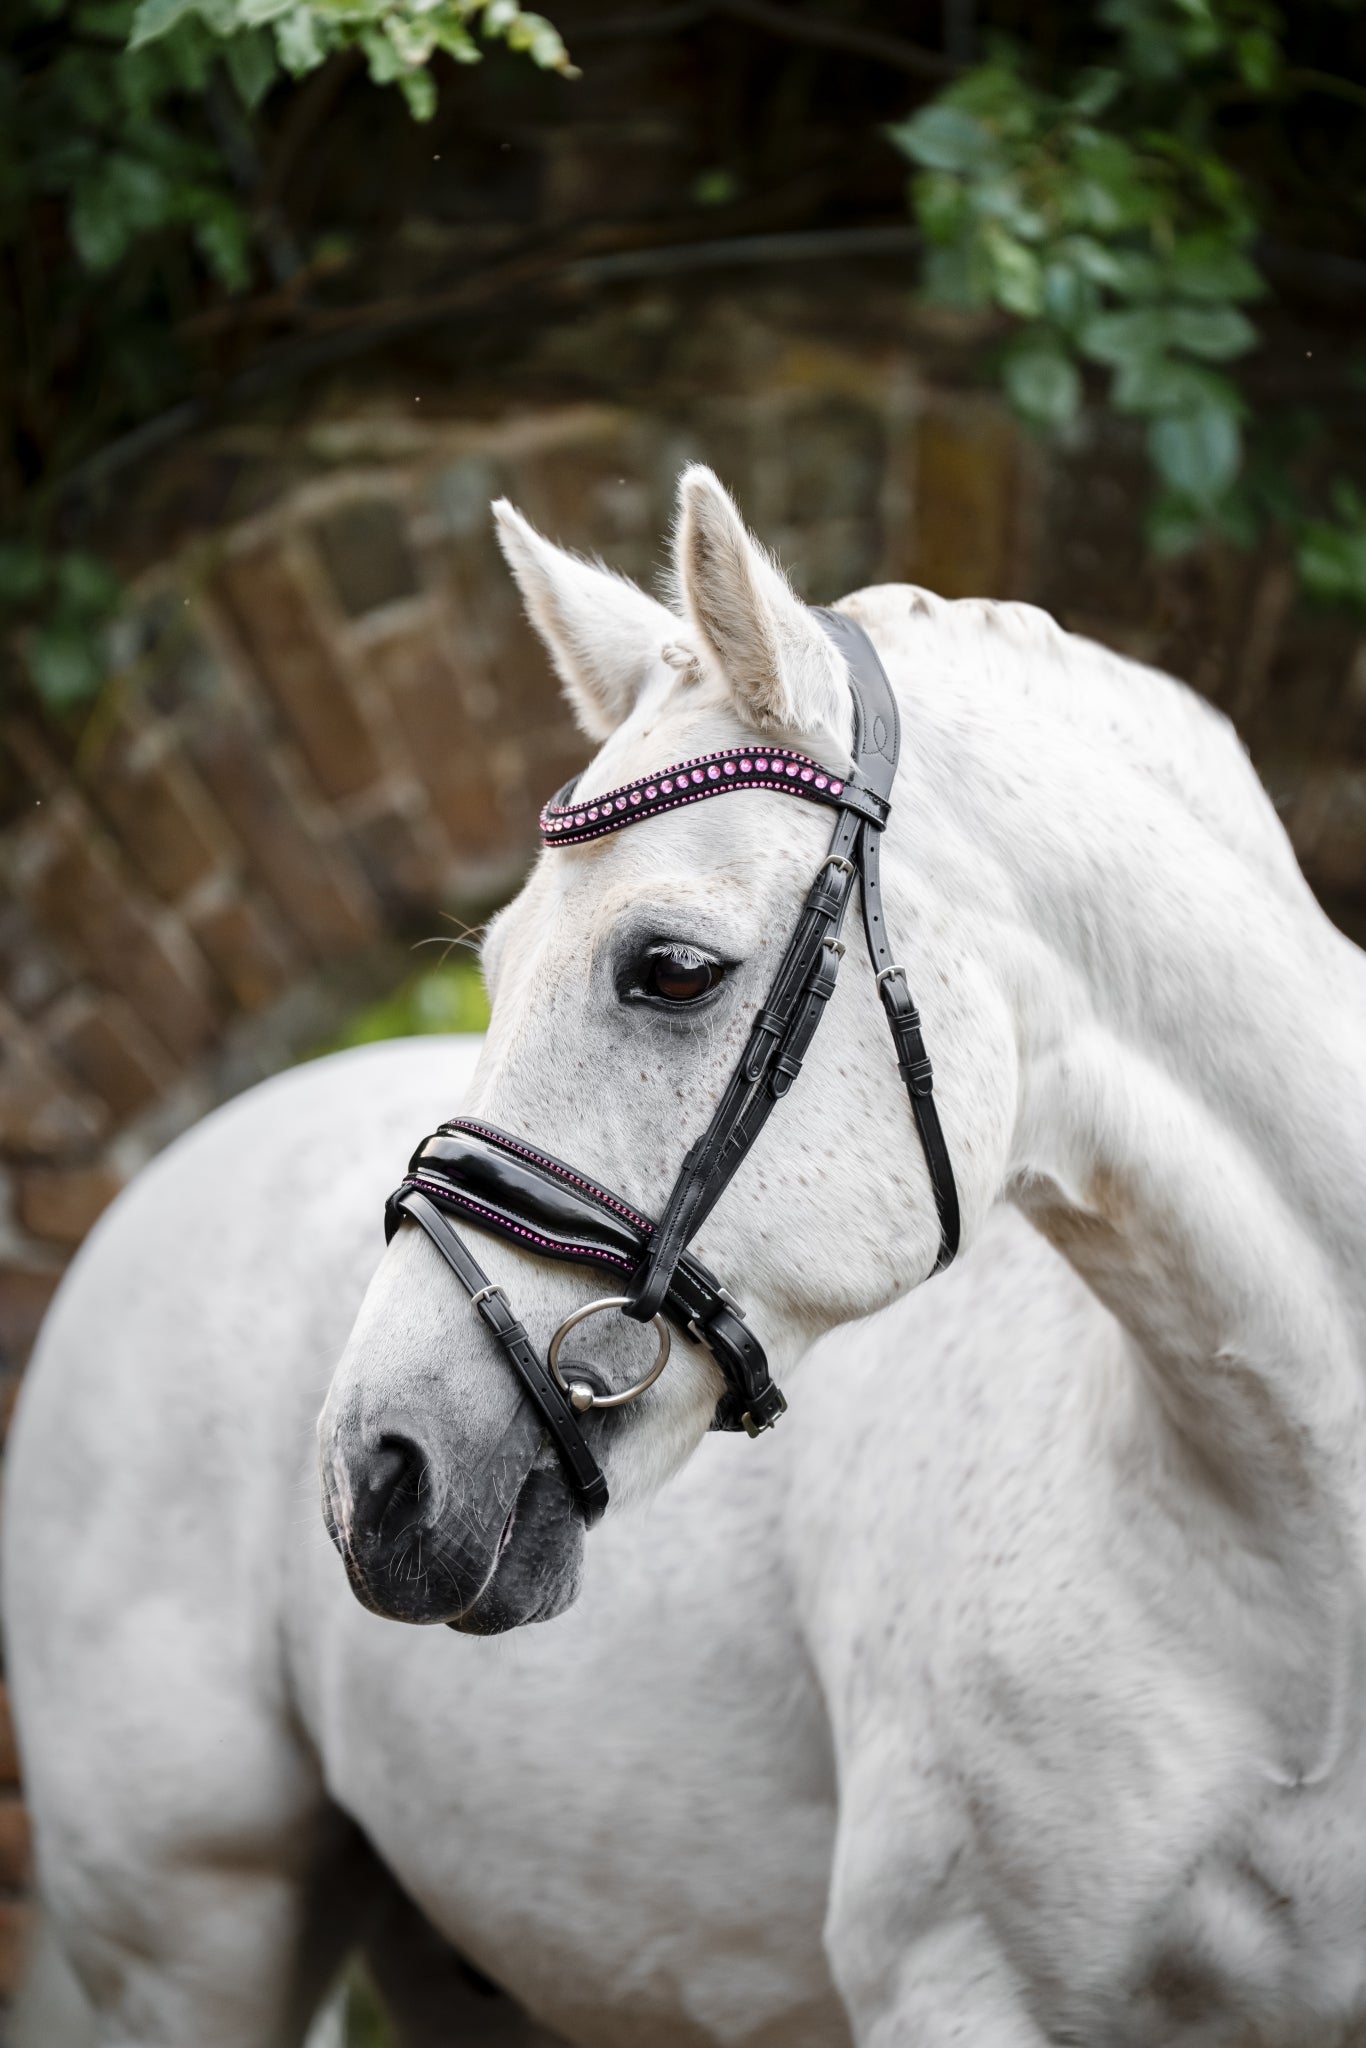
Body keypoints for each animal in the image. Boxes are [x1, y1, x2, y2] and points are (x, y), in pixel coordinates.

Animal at [8, 464, 1366, 2046]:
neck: (1294, 1549)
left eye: (670, 969)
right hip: (190, 1938)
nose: (376, 1475)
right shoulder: (954, 1984)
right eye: (496, 966)